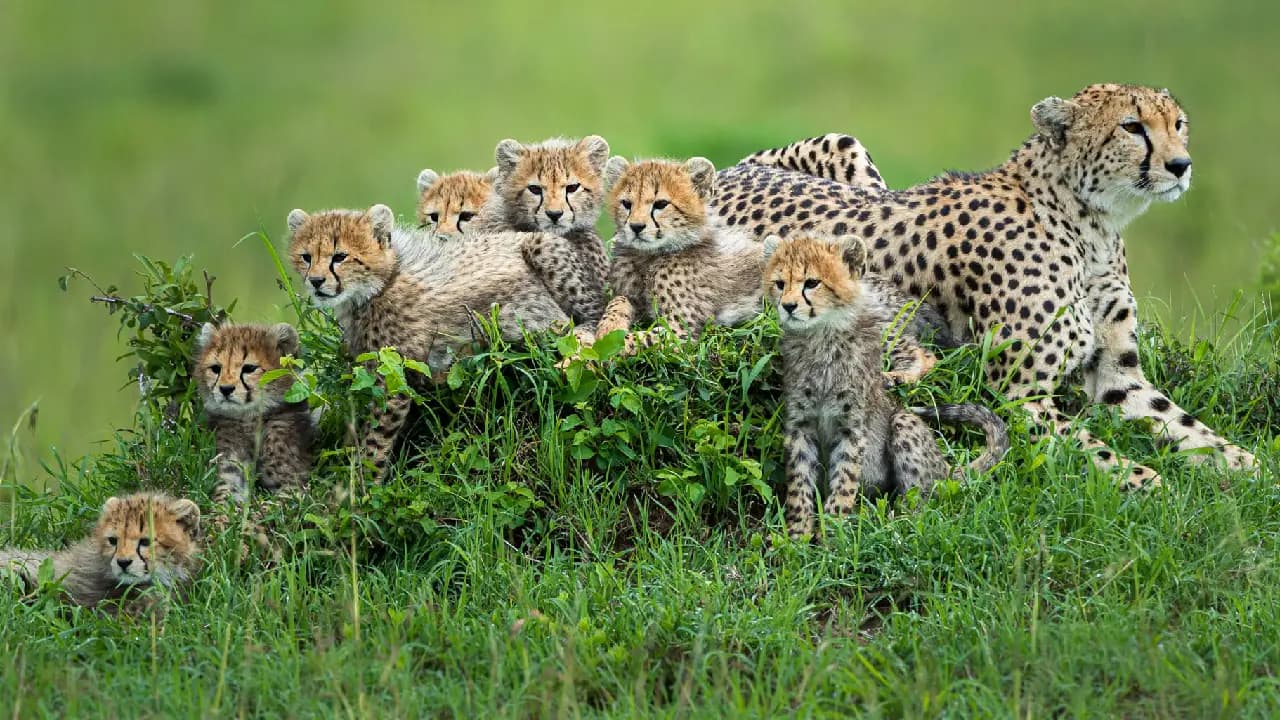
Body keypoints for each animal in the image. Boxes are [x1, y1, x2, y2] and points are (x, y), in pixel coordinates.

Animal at [716, 85, 1254, 486]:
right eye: (1132, 127)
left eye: (1178, 124)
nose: (1181, 165)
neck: (1091, 224)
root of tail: (723, 170)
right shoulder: (1020, 395)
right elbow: (1102, 454)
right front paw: (1155, 486)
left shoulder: (1120, 378)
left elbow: (1189, 427)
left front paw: (1251, 469)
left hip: (848, 148)